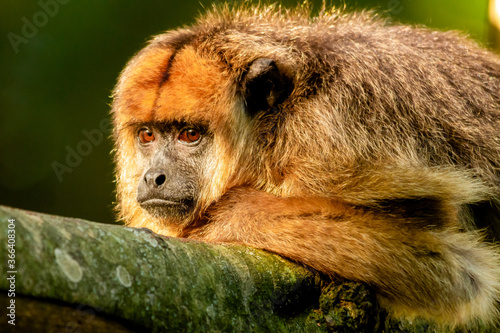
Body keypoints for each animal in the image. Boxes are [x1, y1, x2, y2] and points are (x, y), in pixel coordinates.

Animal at [112, 4, 500, 326]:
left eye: (189, 134)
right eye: (147, 135)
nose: (154, 177)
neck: (275, 128)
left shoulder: (335, 146)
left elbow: (457, 269)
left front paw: (226, 217)